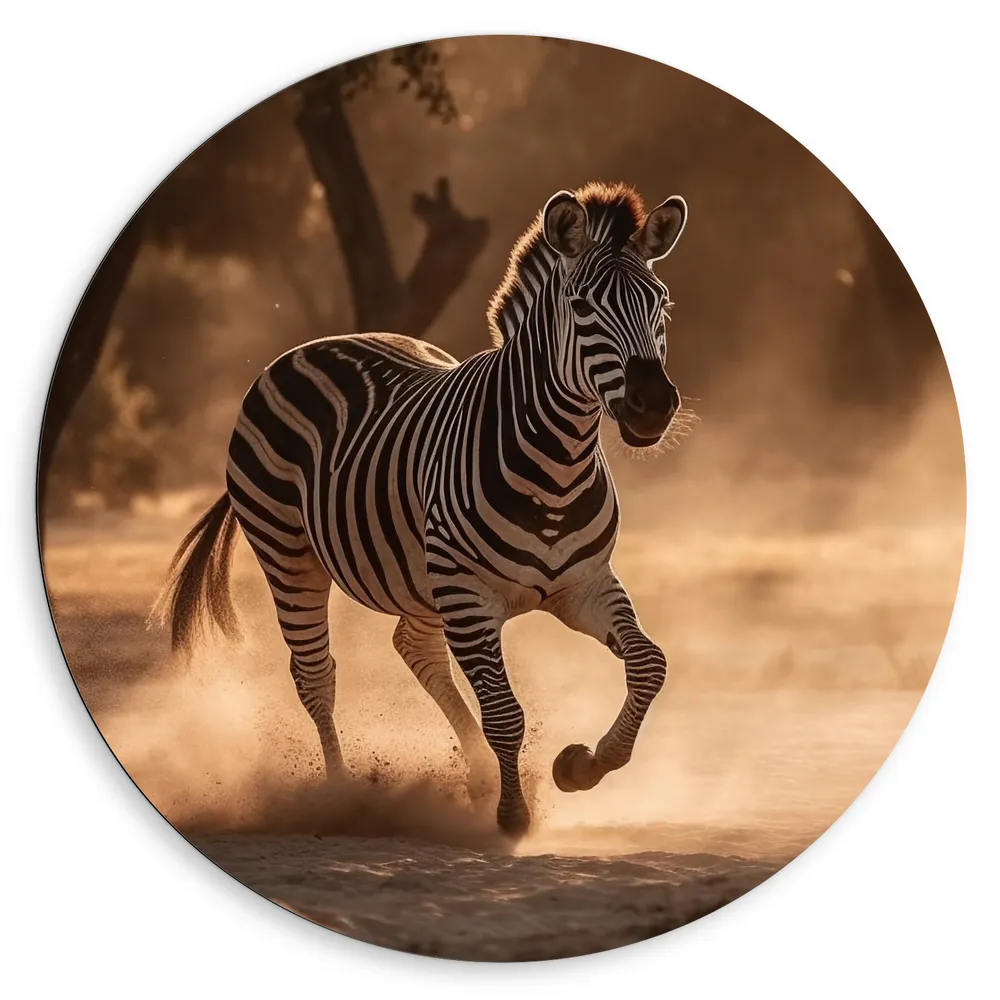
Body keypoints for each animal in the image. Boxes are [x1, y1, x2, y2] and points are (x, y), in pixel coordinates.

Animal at [153, 181, 689, 836]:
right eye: (583, 306)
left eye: (661, 305)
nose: (652, 406)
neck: (558, 469)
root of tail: (310, 347)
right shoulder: (468, 595)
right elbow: (505, 713)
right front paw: (513, 815)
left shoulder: (584, 584)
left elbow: (650, 664)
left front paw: (584, 765)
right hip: (290, 554)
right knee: (316, 675)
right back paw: (342, 796)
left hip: (420, 579)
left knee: (415, 647)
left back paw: (475, 778)